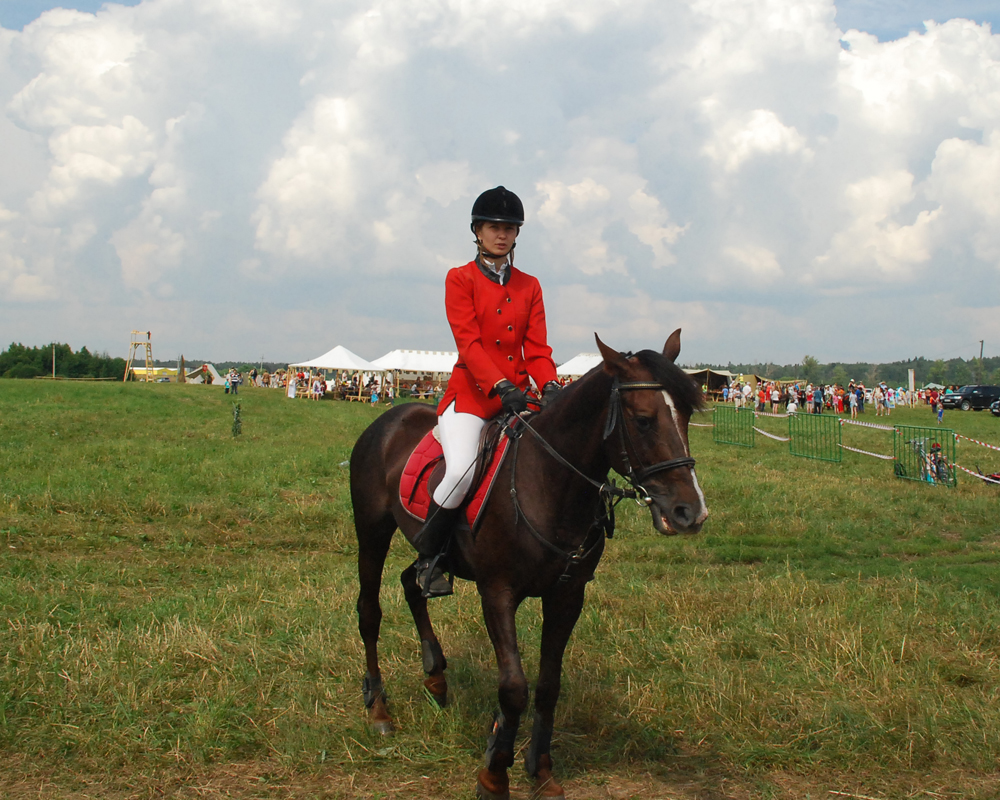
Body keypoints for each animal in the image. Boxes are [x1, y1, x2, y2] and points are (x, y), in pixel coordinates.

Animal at [350, 331, 708, 800]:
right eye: (645, 420)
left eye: (685, 415)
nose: (690, 512)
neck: (550, 483)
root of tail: (389, 419)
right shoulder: (497, 593)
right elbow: (514, 688)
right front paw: (494, 774)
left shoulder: (567, 596)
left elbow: (548, 686)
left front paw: (541, 771)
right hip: (372, 533)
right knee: (370, 612)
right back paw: (378, 710)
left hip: (429, 554)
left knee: (413, 582)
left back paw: (436, 676)